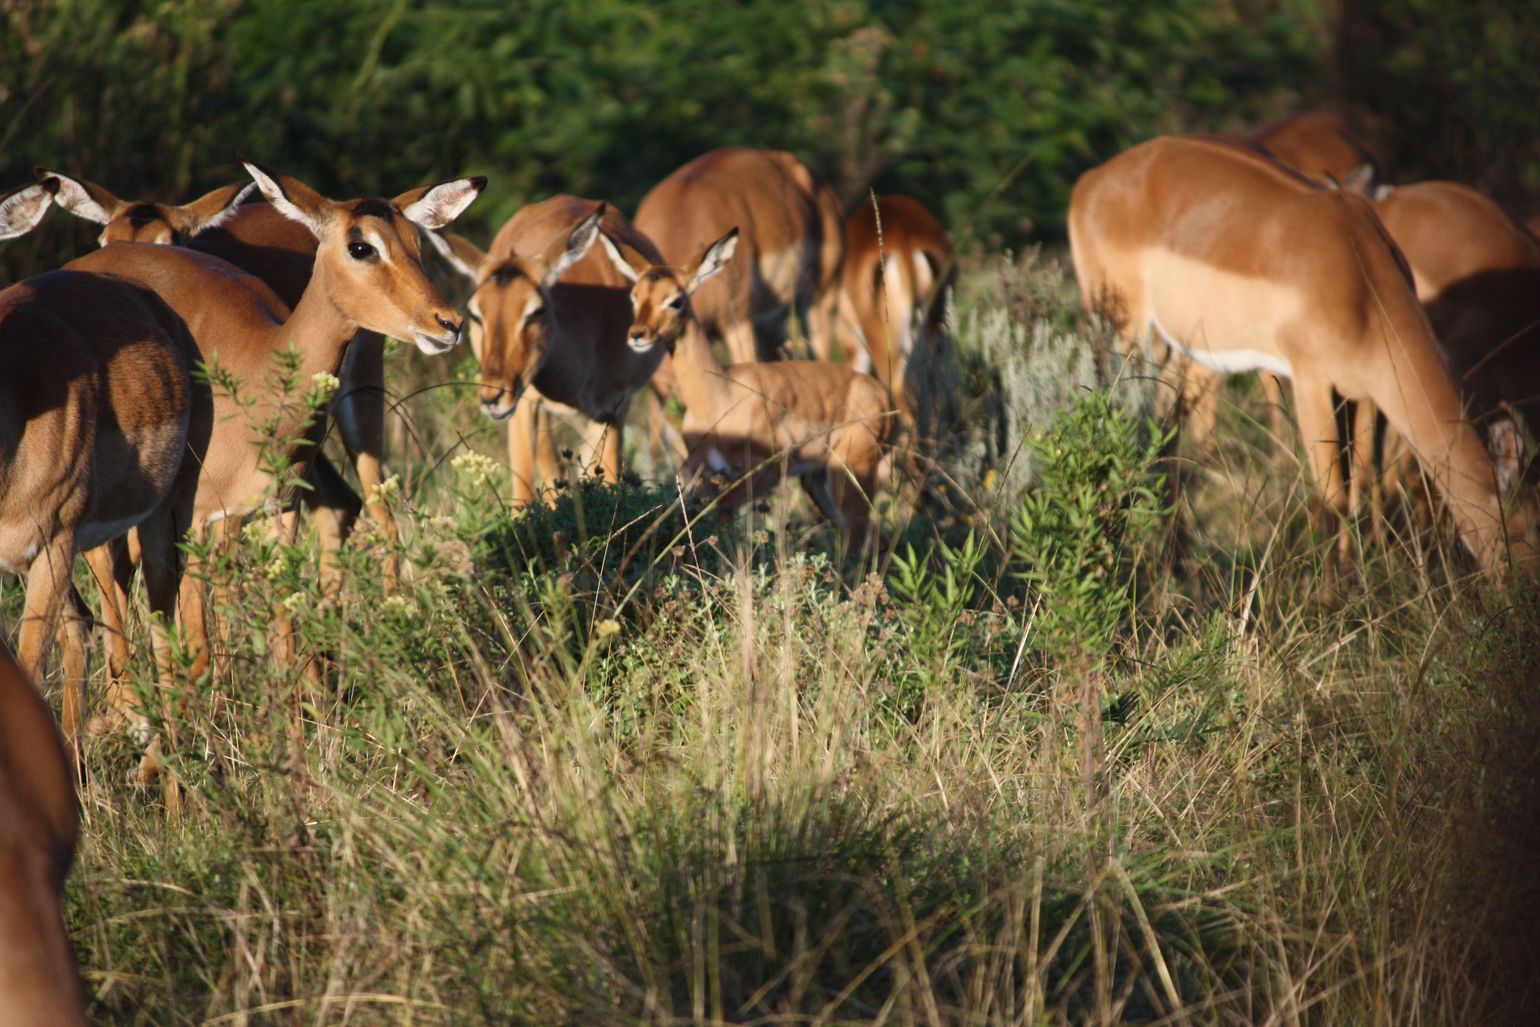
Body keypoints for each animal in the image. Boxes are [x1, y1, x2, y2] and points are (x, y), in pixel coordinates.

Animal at [62, 161, 481, 753]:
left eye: (417, 242)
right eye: (360, 246)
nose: (448, 322)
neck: (259, 362)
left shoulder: (279, 511)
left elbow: (280, 639)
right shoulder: (198, 518)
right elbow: (200, 650)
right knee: (110, 572)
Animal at [426, 197, 662, 505]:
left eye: (535, 311)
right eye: (476, 313)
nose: (491, 398)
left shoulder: (614, 406)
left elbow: (609, 478)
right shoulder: (523, 403)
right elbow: (524, 492)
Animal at [599, 226, 893, 551]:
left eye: (675, 300)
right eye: (634, 296)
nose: (638, 334)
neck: (717, 395)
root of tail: (881, 395)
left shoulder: (761, 472)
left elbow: (723, 515)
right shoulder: (704, 473)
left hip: (851, 473)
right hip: (818, 482)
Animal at [1068, 135, 1540, 580]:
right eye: (1517, 542)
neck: (1362, 279)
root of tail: (1089, 181)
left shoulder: (1359, 392)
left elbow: (1359, 478)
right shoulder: (1311, 381)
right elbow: (1333, 497)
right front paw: (1335, 601)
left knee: (1165, 430)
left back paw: (1178, 565)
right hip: (1125, 334)